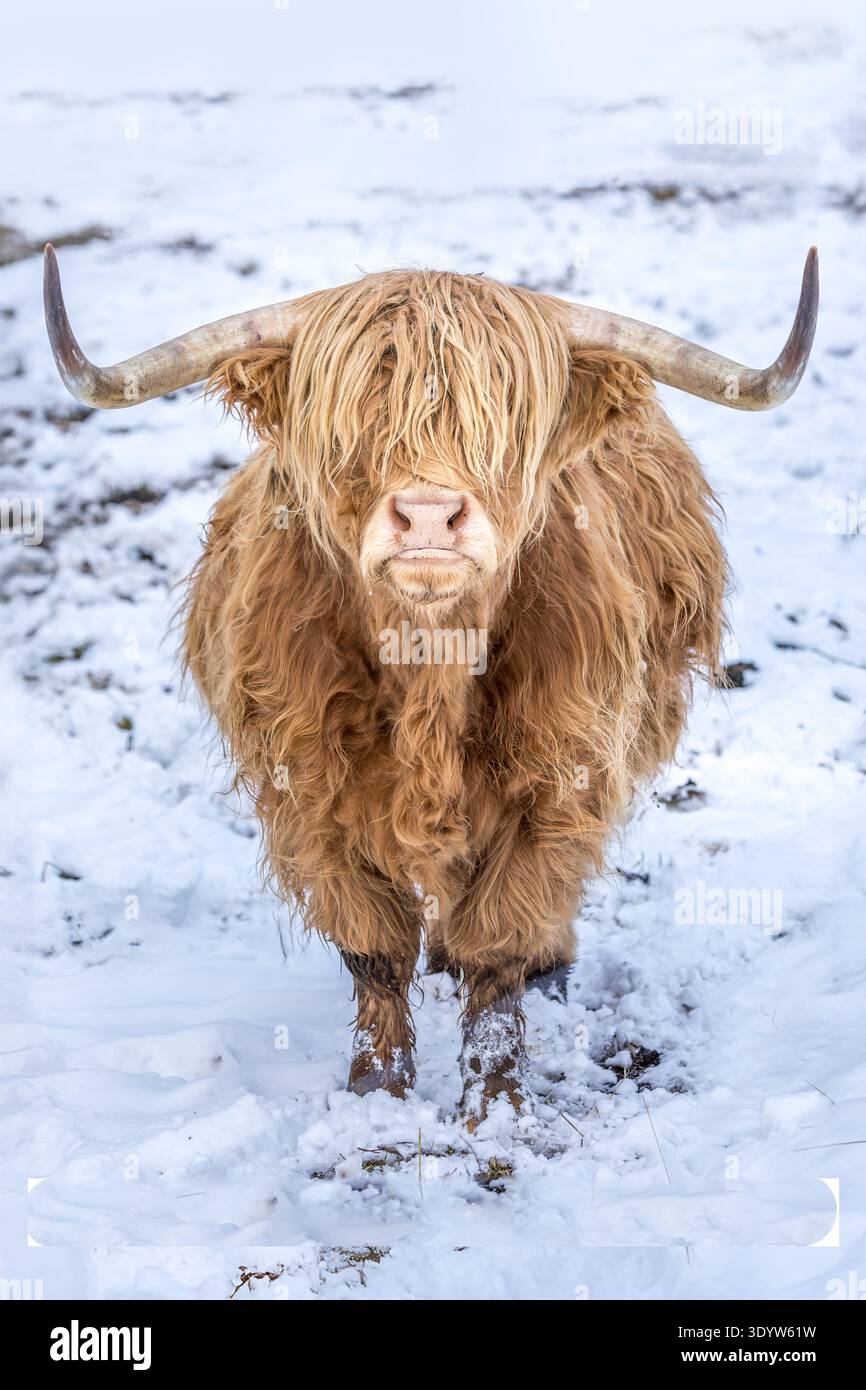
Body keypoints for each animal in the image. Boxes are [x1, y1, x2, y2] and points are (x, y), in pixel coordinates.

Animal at [44, 245, 818, 1125]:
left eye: (504, 420)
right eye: (353, 423)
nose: (426, 515)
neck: (429, 672)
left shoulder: (558, 781)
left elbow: (502, 942)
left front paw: (494, 1101)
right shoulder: (310, 791)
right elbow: (374, 948)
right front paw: (376, 1092)